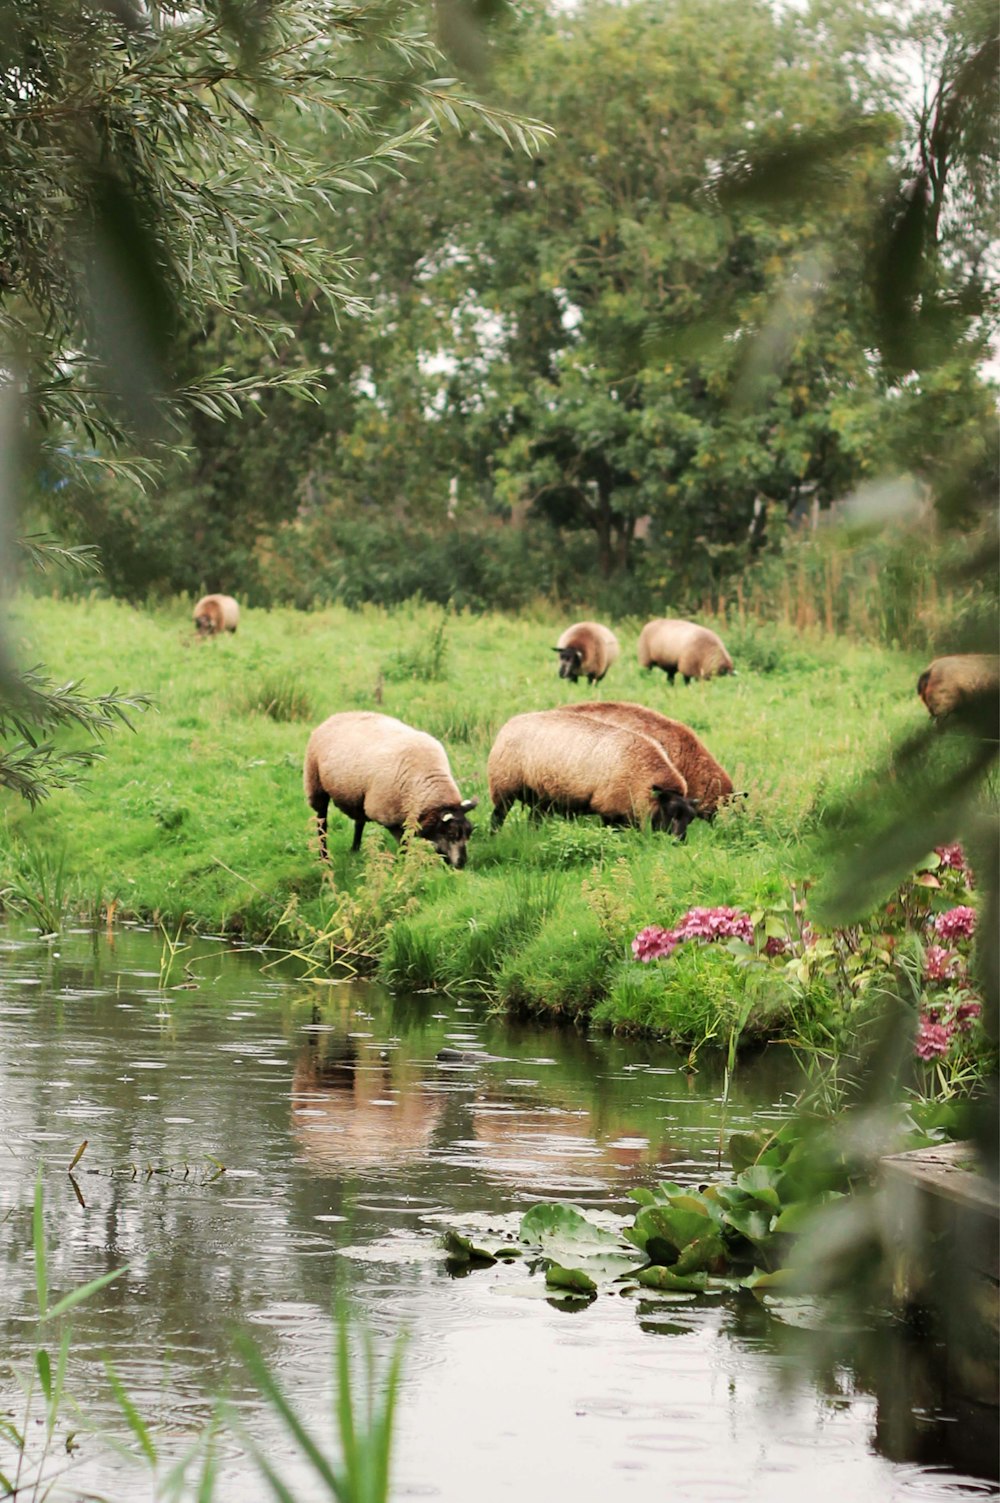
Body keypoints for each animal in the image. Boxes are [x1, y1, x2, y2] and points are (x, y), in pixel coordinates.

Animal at [302, 712, 478, 871]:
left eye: (469, 833)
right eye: (451, 834)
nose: (461, 864)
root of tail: (336, 716)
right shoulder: (391, 818)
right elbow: (404, 845)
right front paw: (402, 867)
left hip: (360, 795)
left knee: (359, 822)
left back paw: (354, 849)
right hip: (315, 784)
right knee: (322, 823)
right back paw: (324, 858)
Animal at [484, 706, 694, 841]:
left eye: (690, 819)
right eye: (670, 813)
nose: (678, 842)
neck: (643, 774)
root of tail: (510, 723)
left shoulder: (629, 809)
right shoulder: (610, 808)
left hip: (540, 796)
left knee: (533, 820)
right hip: (504, 785)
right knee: (497, 817)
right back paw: (493, 838)